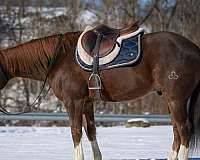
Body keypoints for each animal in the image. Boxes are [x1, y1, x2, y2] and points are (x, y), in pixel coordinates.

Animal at [0, 28, 199, 159]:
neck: (59, 58)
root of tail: (195, 49)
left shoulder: (73, 102)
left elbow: (76, 132)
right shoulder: (87, 102)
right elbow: (91, 131)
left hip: (177, 100)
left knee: (184, 129)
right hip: (170, 100)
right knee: (176, 130)